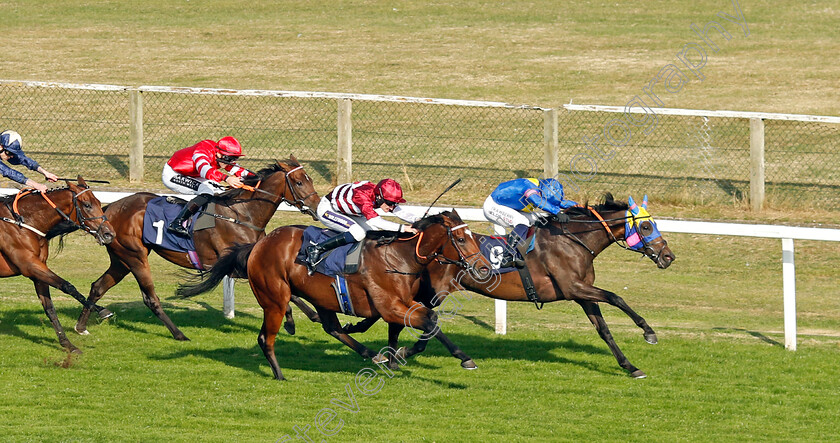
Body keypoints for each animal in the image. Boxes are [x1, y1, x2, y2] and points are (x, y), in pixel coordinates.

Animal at [0, 177, 115, 354]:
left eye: (98, 201)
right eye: (87, 204)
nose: (110, 234)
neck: (24, 222)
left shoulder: (37, 269)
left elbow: (50, 308)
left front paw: (68, 344)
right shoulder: (29, 265)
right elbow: (67, 286)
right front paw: (102, 310)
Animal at [74, 158, 322, 342]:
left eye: (309, 179)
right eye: (299, 182)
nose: (316, 206)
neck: (243, 214)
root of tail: (108, 210)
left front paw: (306, 316)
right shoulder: (235, 265)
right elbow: (288, 294)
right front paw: (299, 318)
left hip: (121, 260)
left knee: (98, 287)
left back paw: (81, 326)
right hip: (135, 257)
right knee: (150, 298)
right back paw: (179, 334)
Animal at [180, 210, 488, 380]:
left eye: (473, 236)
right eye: (461, 239)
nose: (483, 267)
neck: (399, 257)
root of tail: (257, 245)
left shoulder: (401, 304)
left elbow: (411, 328)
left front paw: (394, 357)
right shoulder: (390, 305)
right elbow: (430, 321)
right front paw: (465, 358)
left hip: (320, 298)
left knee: (332, 328)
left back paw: (370, 353)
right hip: (274, 299)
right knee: (266, 338)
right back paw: (280, 374)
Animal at [342, 194, 676, 378]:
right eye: (646, 225)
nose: (668, 256)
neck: (574, 241)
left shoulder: (582, 293)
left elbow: (604, 329)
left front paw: (630, 366)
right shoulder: (573, 288)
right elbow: (616, 297)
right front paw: (649, 332)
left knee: (398, 317)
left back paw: (374, 342)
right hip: (435, 290)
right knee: (408, 318)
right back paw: (390, 349)